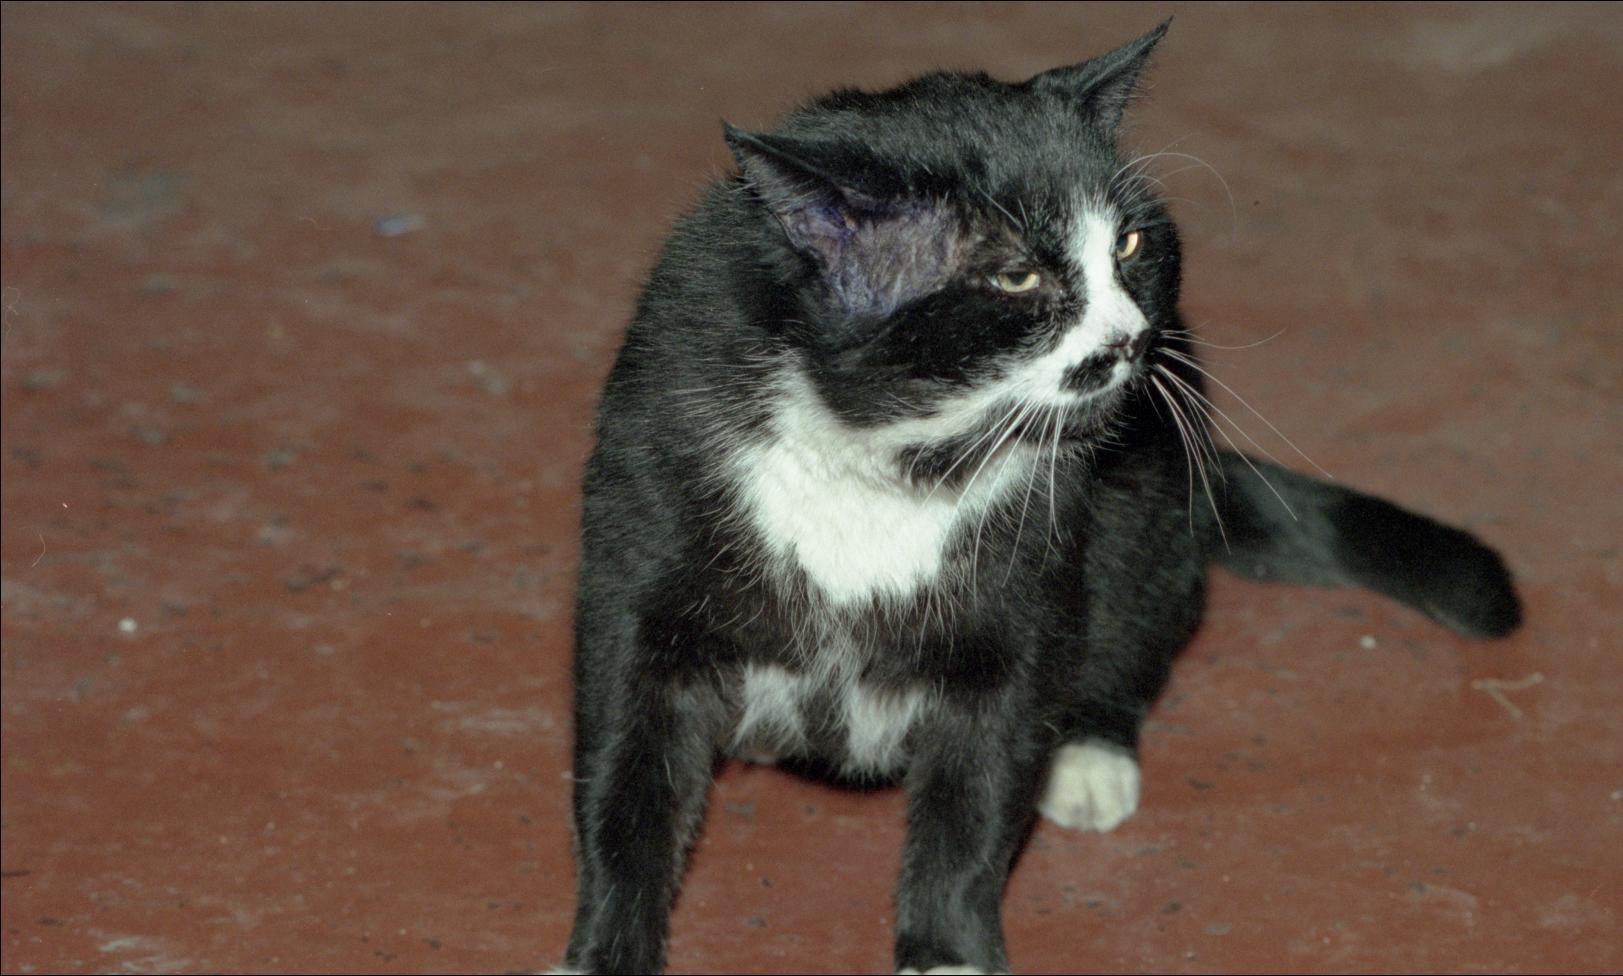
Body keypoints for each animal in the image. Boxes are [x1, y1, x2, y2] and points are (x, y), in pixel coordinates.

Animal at [557, 22, 1520, 975]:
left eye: (1129, 245)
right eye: (1017, 278)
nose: (1133, 339)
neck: (889, 452)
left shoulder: (1019, 610)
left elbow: (977, 798)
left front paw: (947, 950)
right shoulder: (642, 549)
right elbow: (623, 781)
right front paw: (604, 950)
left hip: (1153, 516)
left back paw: (1087, 755)